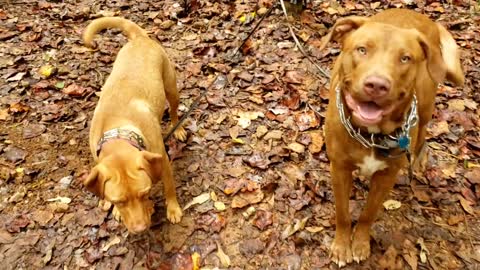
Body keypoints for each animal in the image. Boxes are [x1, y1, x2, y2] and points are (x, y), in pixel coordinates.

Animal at [82, 16, 188, 234]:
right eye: (119, 201)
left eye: (144, 194)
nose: (139, 229)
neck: (118, 128)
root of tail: (139, 38)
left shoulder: (163, 163)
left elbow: (169, 188)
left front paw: (173, 209)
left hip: (171, 89)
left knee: (174, 111)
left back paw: (178, 128)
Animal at [320, 8, 464, 268]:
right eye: (362, 49)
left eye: (405, 58)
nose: (377, 85)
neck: (371, 134)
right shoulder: (339, 169)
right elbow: (343, 213)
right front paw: (342, 246)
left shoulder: (386, 176)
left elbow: (368, 213)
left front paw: (360, 243)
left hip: (425, 106)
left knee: (422, 133)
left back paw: (417, 159)